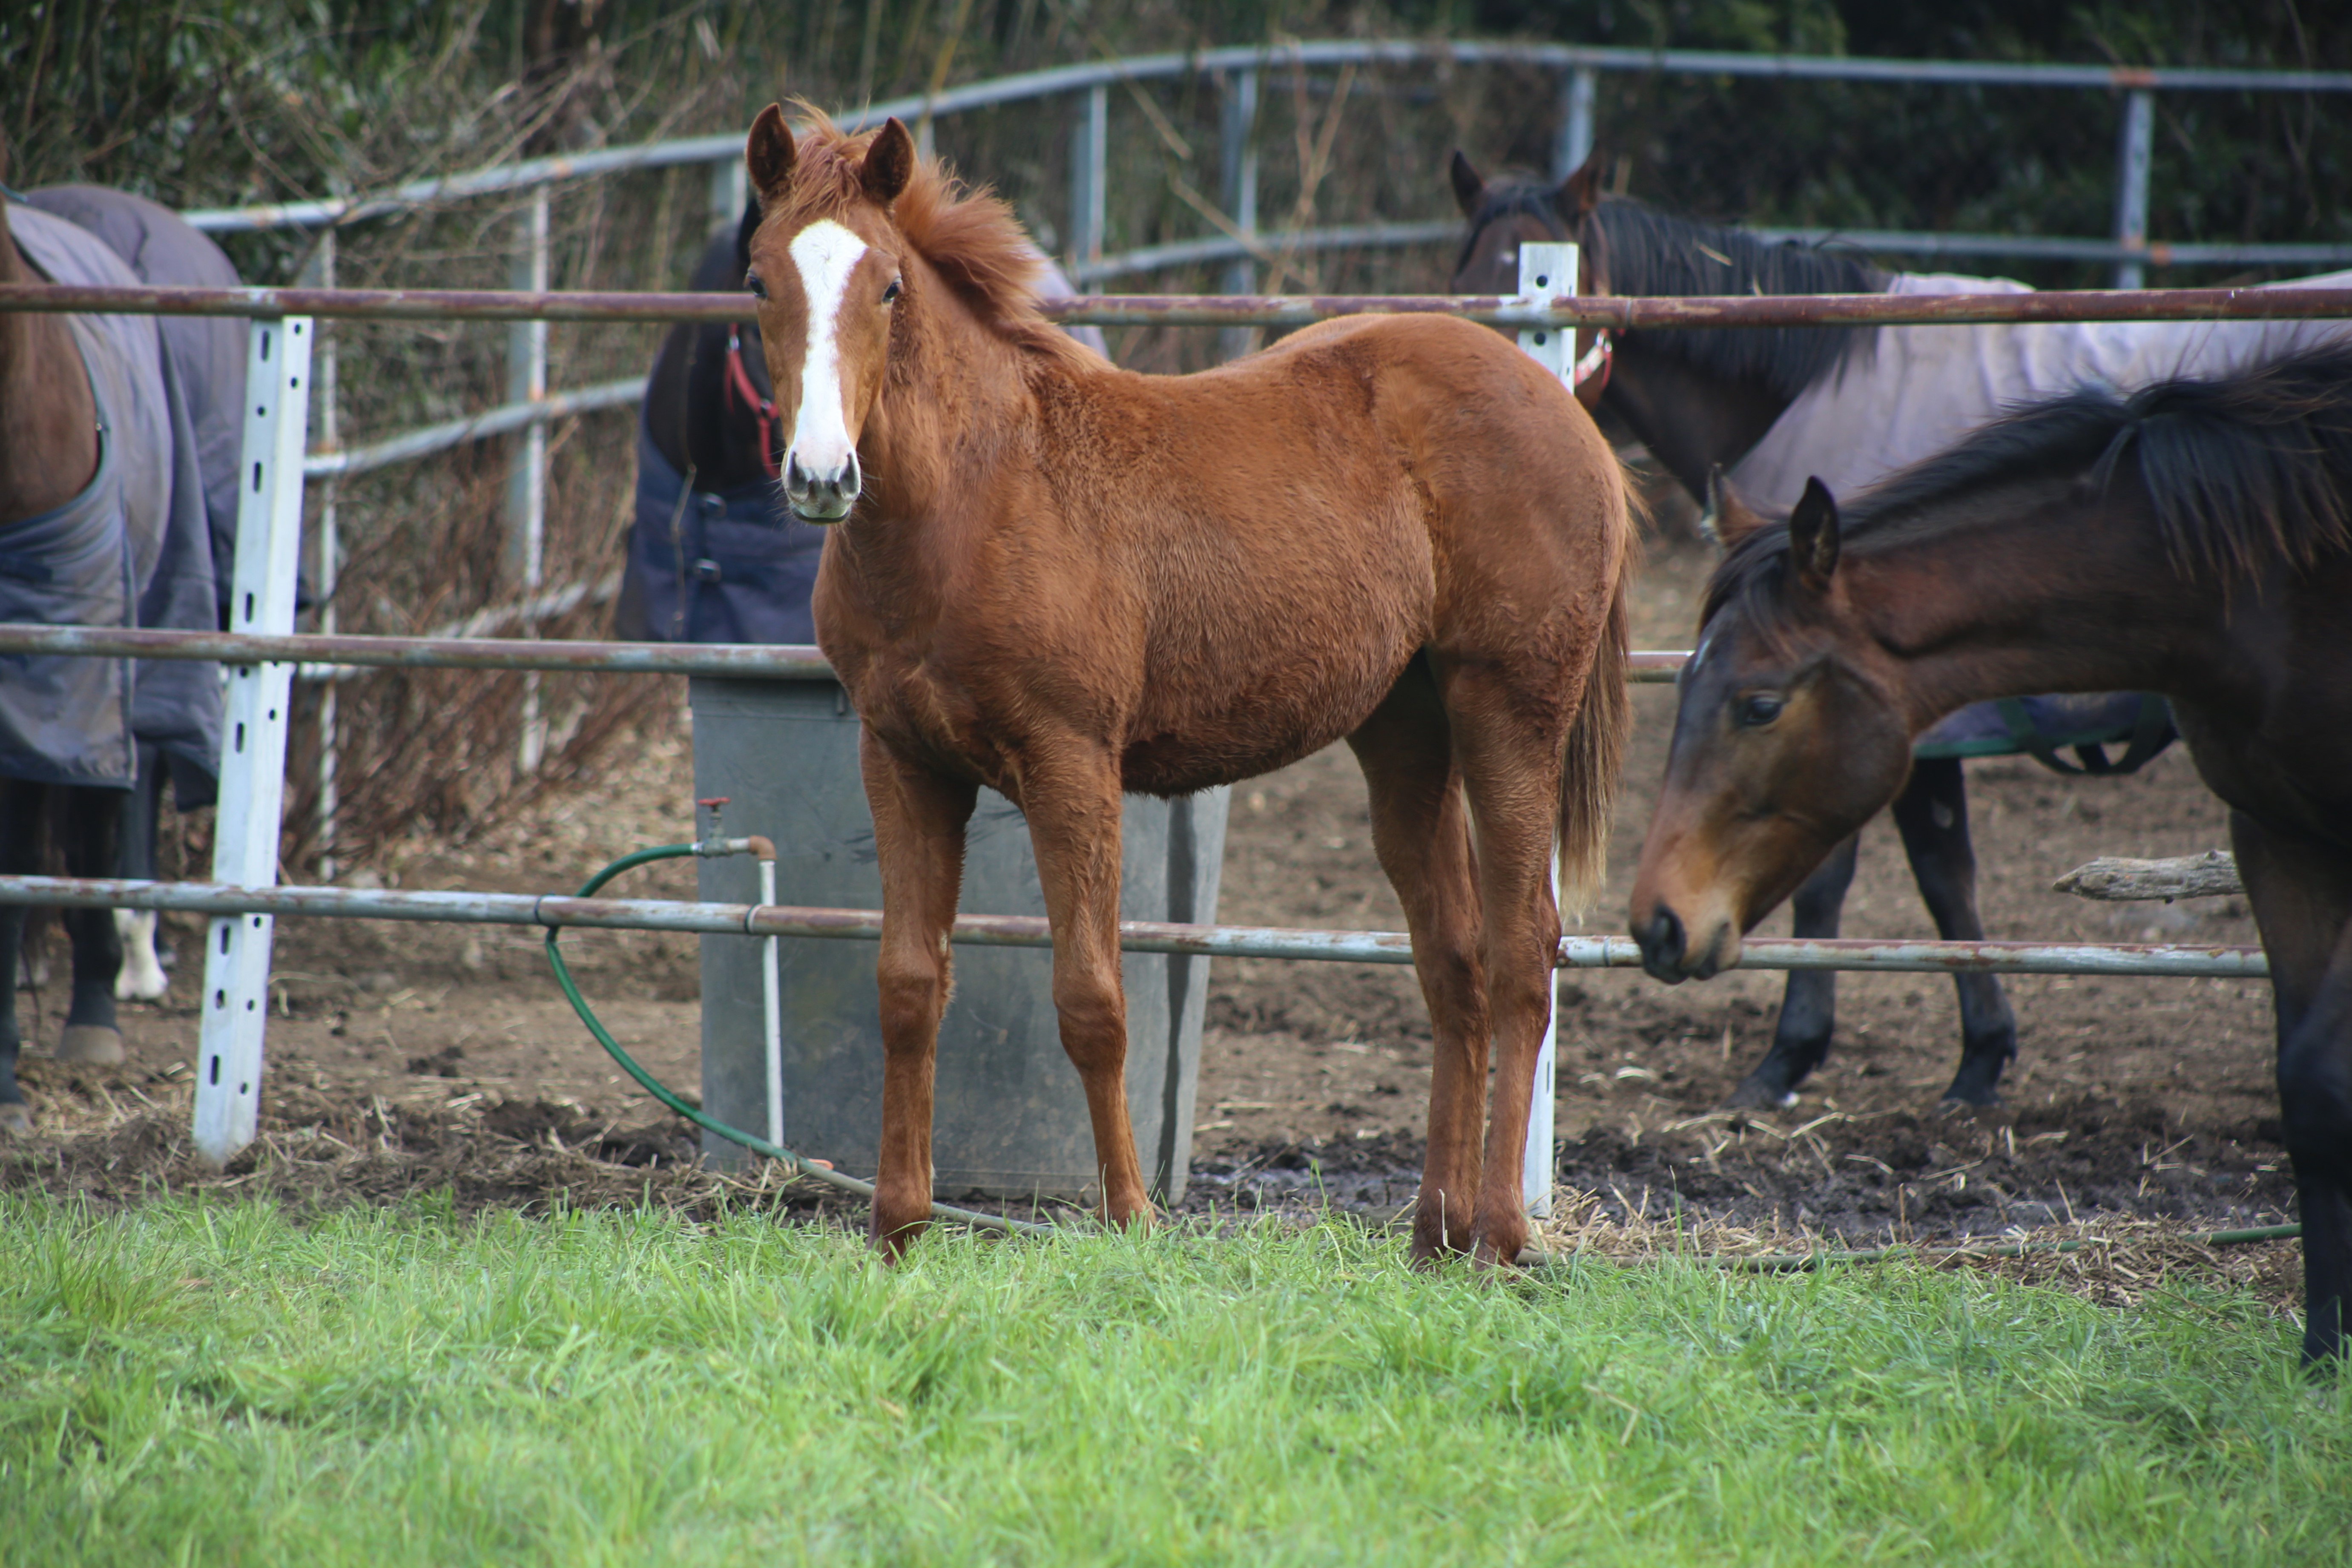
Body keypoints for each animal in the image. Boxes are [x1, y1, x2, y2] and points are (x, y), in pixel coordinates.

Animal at [743, 107, 1627, 1260]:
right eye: (760, 280)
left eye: (888, 286)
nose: (820, 477)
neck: (975, 498)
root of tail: (1563, 409)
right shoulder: (900, 762)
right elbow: (906, 986)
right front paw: (897, 1229)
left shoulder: (1069, 761)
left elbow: (1092, 998)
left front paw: (1128, 1219)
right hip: (1407, 731)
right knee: (1455, 964)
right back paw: (1433, 1233)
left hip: (1510, 709)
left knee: (1526, 953)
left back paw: (1501, 1238)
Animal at [1458, 152, 2342, 1114]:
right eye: (1464, 277)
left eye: (1516, 277)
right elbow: (1942, 879)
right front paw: (1977, 1055)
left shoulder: (1911, 717)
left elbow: (1873, 879)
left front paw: (1796, 1055)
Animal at [1627, 345, 2352, 1363]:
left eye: (1759, 703)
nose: (1656, 920)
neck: (2259, 584)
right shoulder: (2274, 835)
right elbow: (2308, 1091)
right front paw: (2323, 1349)